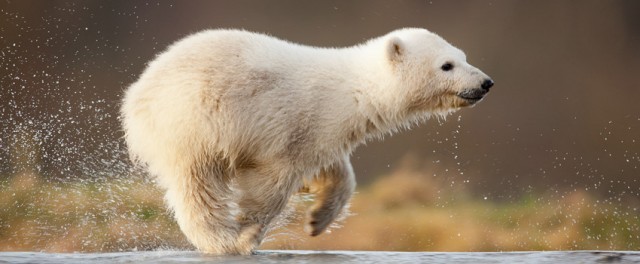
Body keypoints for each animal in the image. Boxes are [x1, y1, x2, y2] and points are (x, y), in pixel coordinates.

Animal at [120, 27, 492, 255]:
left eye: (463, 56)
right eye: (447, 65)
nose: (485, 82)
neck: (353, 92)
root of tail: (137, 97)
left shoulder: (323, 133)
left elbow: (335, 171)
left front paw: (318, 218)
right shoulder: (292, 127)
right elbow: (269, 186)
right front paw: (247, 235)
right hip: (194, 124)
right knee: (197, 187)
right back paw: (220, 241)